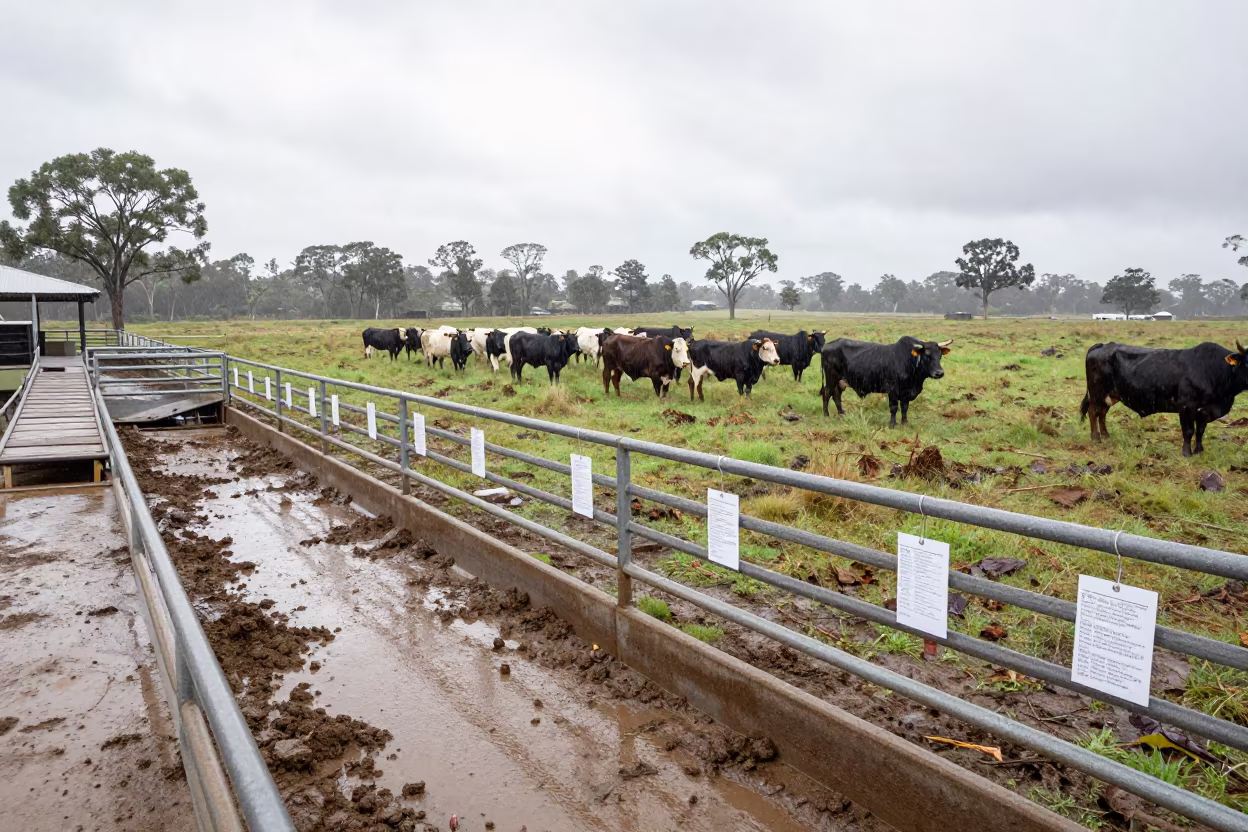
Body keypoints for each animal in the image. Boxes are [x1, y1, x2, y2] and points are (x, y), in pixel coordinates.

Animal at [819, 337, 953, 426]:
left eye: (940, 355)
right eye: (927, 355)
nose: (939, 373)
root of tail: (826, 347)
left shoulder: (906, 392)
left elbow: (905, 407)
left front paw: (905, 423)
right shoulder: (893, 390)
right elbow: (893, 408)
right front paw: (892, 424)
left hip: (840, 381)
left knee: (836, 395)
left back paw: (842, 413)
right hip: (831, 378)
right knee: (827, 394)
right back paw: (826, 415)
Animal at [1080, 340, 1248, 456]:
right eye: (1247, 364)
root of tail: (1102, 345)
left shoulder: (1204, 411)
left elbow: (1200, 431)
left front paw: (1199, 450)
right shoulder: (1186, 407)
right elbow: (1188, 431)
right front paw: (1187, 453)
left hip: (1109, 395)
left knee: (1102, 414)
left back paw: (1106, 436)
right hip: (1097, 393)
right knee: (1093, 412)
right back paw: (1096, 438)